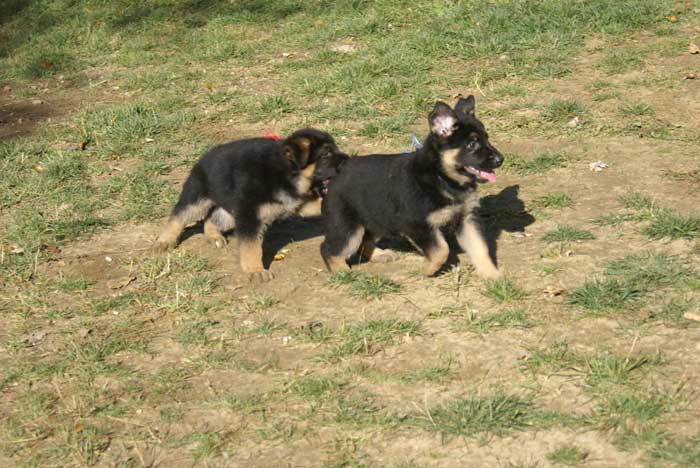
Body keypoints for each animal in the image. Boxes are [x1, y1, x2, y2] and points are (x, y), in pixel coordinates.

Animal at [156, 128, 348, 282]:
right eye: (326, 154)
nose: (347, 159)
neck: (285, 172)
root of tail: (205, 156)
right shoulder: (250, 216)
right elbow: (251, 247)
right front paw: (255, 271)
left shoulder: (297, 203)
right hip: (198, 199)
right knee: (178, 216)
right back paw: (164, 241)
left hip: (231, 212)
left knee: (211, 218)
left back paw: (214, 236)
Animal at [320, 95, 506, 278]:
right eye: (472, 144)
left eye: (487, 138)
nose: (500, 160)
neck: (442, 177)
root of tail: (339, 170)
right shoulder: (417, 225)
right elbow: (441, 250)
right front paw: (428, 270)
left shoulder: (467, 219)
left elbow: (480, 248)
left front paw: (493, 277)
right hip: (348, 227)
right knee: (329, 249)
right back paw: (342, 272)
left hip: (378, 218)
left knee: (364, 241)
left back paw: (380, 255)